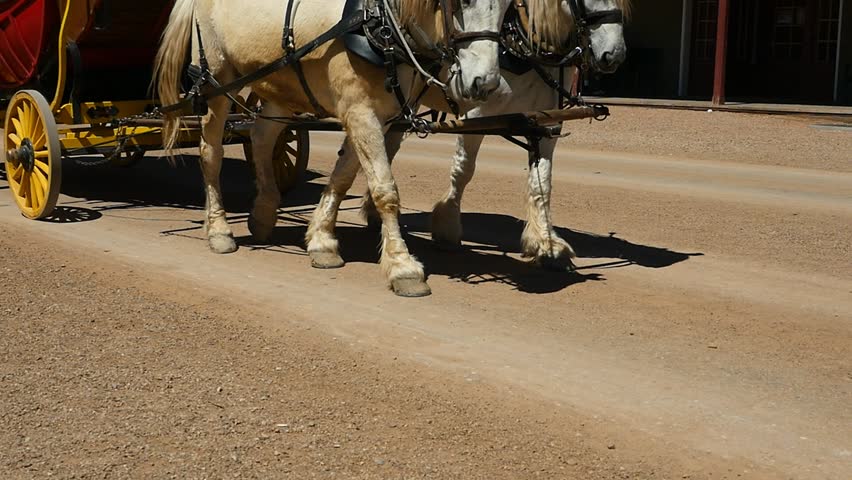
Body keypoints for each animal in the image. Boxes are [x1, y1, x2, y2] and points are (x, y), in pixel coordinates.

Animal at [154, 0, 514, 297]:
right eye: (461, 2)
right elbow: (384, 190)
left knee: (262, 137)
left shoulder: (376, 117)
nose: (486, 83)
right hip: (215, 81)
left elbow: (342, 177)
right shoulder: (361, 112)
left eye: (509, 6)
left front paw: (322, 240)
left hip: (280, 88)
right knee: (211, 153)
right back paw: (219, 229)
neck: (376, 23)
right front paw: (403, 267)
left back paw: (264, 212)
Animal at [307, 0, 629, 294]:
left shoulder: (546, 119)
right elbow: (464, 170)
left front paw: (547, 244)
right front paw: (447, 225)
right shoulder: (476, 113)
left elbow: (542, 183)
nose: (614, 54)